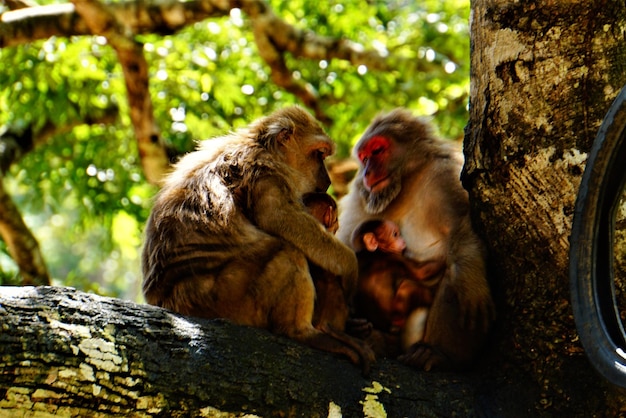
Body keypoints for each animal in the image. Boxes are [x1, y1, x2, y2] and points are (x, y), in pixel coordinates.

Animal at [142, 107, 372, 372]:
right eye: (319, 154)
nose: (327, 179)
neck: (260, 144)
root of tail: (167, 301)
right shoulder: (267, 173)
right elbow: (280, 218)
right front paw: (350, 267)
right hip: (226, 300)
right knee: (287, 252)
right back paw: (302, 333)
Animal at [336, 108, 492, 372]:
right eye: (364, 158)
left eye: (377, 150)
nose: (367, 172)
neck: (405, 184)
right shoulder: (363, 198)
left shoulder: (444, 173)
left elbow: (463, 223)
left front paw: (470, 279)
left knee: (453, 272)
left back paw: (440, 354)